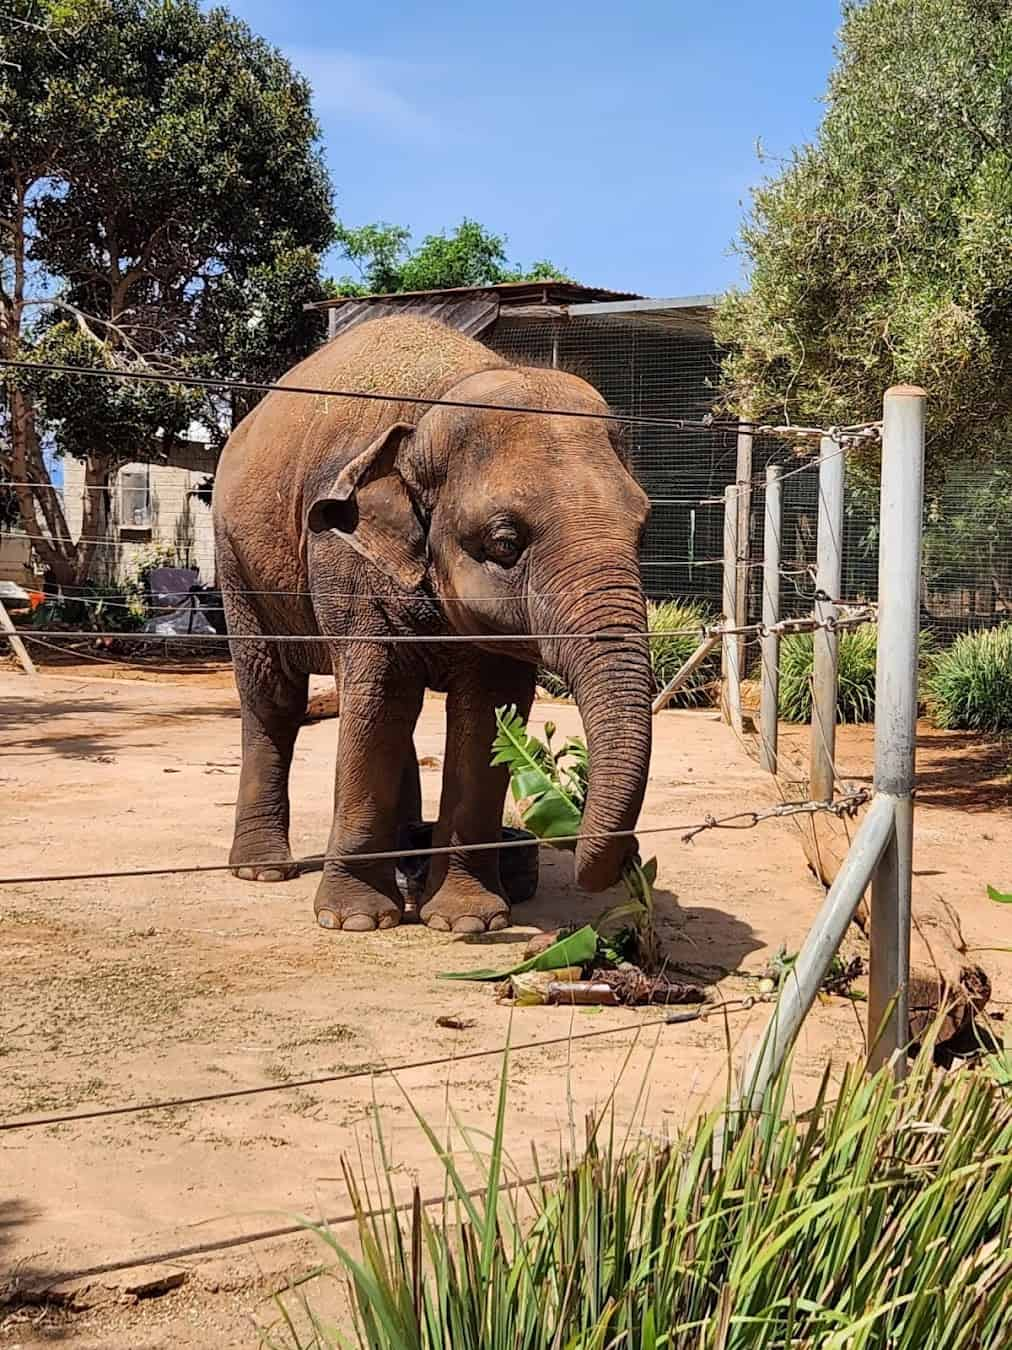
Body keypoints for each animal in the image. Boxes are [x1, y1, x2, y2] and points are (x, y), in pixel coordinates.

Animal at [215, 313, 658, 939]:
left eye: (643, 529)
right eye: (505, 543)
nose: (630, 859)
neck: (436, 403)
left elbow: (488, 713)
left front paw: (467, 921)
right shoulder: (341, 554)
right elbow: (378, 694)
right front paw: (353, 921)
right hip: (235, 559)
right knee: (276, 696)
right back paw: (262, 870)